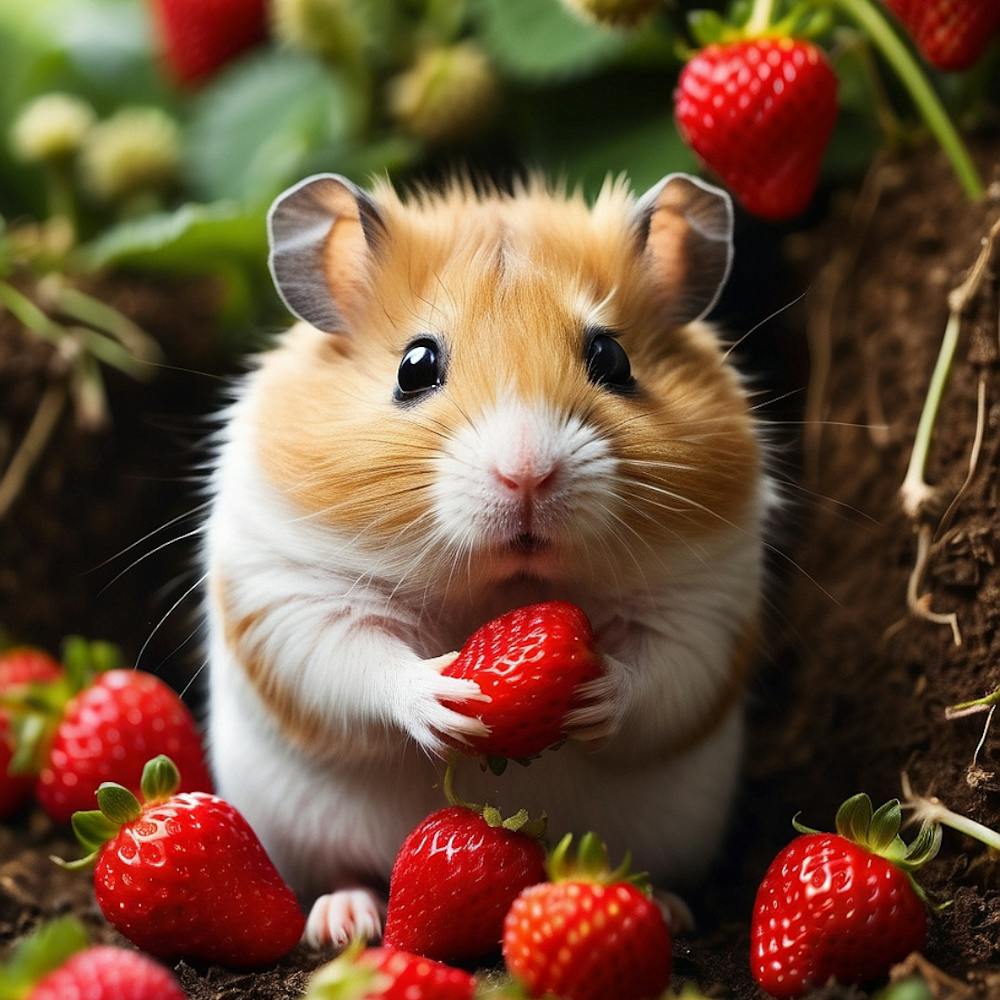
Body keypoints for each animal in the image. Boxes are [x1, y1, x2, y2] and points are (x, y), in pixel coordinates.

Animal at [205, 171, 767, 948]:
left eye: (612, 359)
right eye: (414, 366)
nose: (526, 474)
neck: (508, 585)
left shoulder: (705, 605)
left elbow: (655, 674)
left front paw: (592, 691)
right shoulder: (297, 596)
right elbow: (363, 662)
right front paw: (451, 699)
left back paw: (663, 908)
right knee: (344, 874)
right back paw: (343, 922)